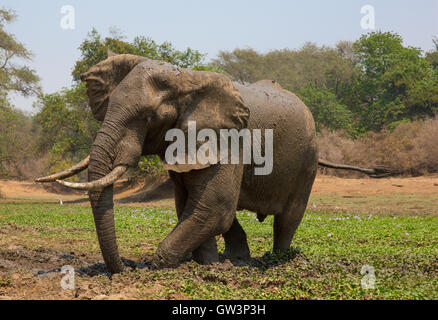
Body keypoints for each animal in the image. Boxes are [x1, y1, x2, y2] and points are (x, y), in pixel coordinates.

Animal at [35, 53, 390, 274]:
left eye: (149, 117)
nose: (126, 268)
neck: (187, 80)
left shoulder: (230, 140)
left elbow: (213, 206)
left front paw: (159, 267)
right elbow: (193, 206)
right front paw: (208, 266)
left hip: (307, 161)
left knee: (287, 219)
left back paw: (277, 260)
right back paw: (240, 261)